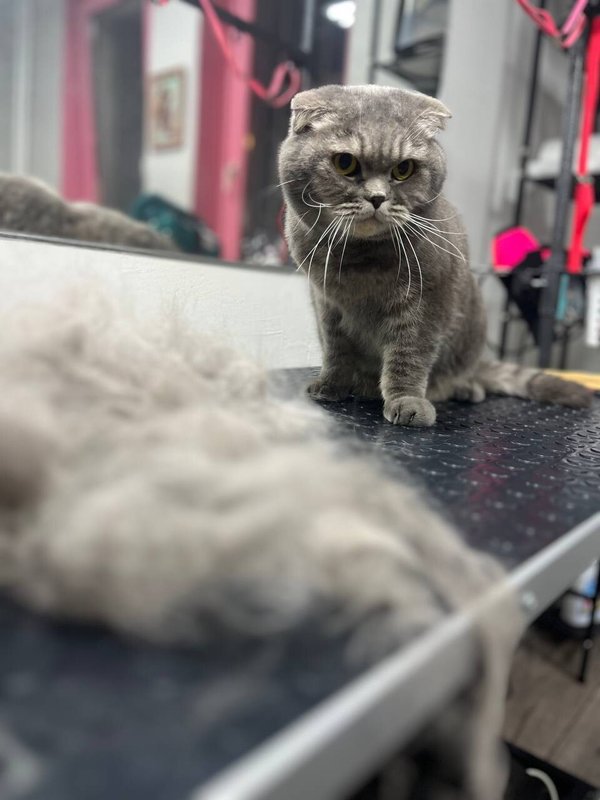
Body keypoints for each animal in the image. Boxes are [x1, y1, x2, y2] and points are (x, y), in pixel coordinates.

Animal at [278, 85, 593, 426]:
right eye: (345, 163)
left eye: (403, 169)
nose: (377, 198)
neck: (361, 261)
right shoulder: (326, 303)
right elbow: (336, 351)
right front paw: (332, 386)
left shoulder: (428, 302)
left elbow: (409, 356)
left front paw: (408, 401)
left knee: (465, 372)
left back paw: (465, 388)